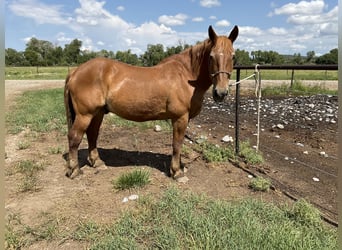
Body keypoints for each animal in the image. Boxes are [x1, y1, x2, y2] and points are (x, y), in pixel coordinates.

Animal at [65, 24, 239, 178]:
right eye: (211, 56)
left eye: (233, 56)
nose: (221, 93)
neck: (186, 76)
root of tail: (75, 71)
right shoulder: (180, 117)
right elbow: (177, 144)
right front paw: (176, 172)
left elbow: (179, 144)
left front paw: (179, 167)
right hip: (85, 114)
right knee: (74, 137)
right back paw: (74, 170)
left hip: (98, 113)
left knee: (92, 134)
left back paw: (97, 162)